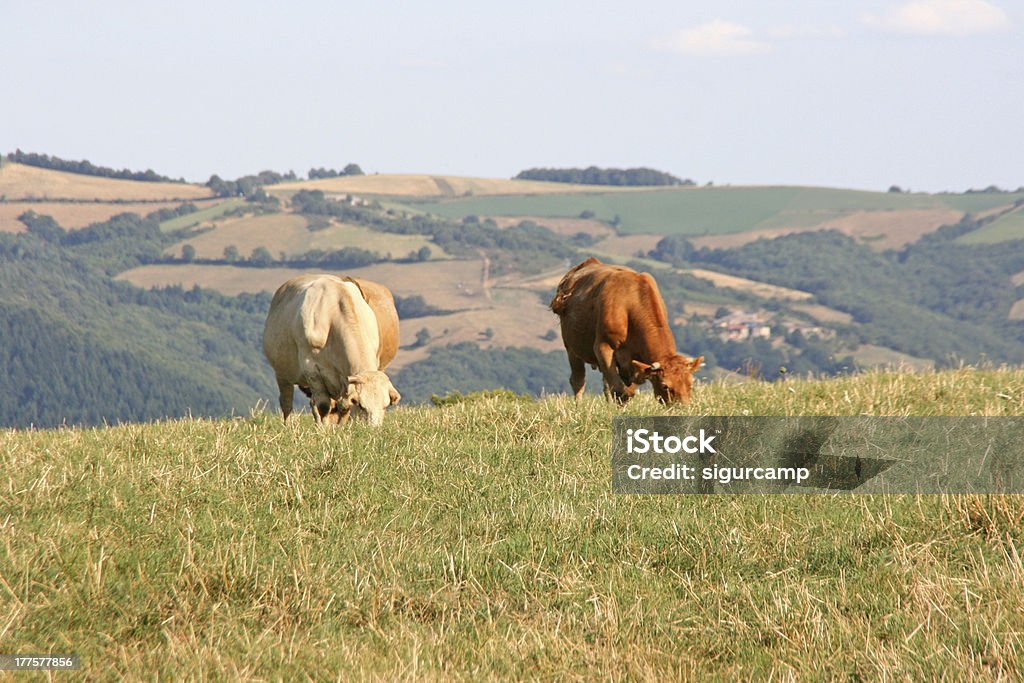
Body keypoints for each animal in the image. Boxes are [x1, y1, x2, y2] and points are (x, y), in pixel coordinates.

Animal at [264, 274, 399, 423]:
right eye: (361, 406)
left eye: (385, 406)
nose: (373, 428)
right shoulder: (311, 370)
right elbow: (323, 406)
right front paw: (324, 428)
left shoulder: (346, 379)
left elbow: (344, 406)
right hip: (282, 373)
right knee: (286, 403)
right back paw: (288, 426)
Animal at [552, 259, 704, 403]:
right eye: (665, 386)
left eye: (691, 385)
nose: (683, 408)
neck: (630, 305)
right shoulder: (603, 347)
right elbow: (620, 390)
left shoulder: (636, 362)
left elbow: (627, 391)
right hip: (571, 347)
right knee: (578, 381)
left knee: (605, 385)